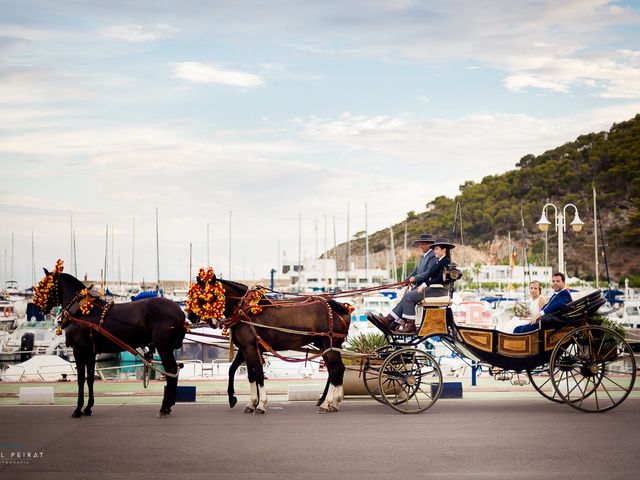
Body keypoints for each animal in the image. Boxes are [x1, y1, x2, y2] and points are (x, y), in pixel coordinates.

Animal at [35, 268, 186, 418]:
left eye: (43, 285)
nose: (38, 306)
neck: (81, 310)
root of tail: (180, 312)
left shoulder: (79, 350)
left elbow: (81, 379)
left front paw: (78, 409)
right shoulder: (91, 353)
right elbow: (90, 378)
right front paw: (88, 407)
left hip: (164, 347)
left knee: (171, 370)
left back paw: (165, 406)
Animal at [188, 276, 352, 414]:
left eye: (204, 296)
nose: (190, 316)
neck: (244, 309)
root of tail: (338, 306)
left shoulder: (250, 348)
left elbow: (258, 373)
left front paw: (260, 404)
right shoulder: (245, 348)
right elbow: (243, 373)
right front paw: (244, 401)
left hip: (329, 344)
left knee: (336, 369)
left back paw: (326, 403)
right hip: (325, 346)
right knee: (336, 370)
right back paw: (333, 402)